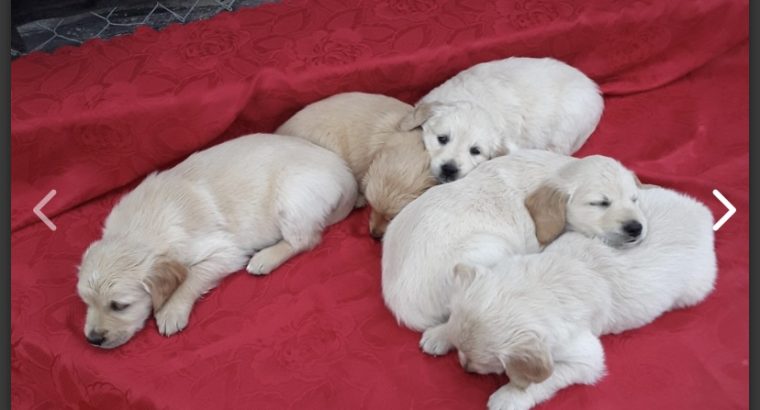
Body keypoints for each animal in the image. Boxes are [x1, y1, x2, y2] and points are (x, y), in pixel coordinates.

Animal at [76, 135, 356, 350]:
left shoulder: (225, 250)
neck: (137, 229)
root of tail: (344, 172)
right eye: (86, 302)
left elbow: (192, 276)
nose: (93, 339)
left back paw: (264, 258)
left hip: (293, 197)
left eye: (119, 306)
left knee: (305, 240)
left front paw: (171, 311)